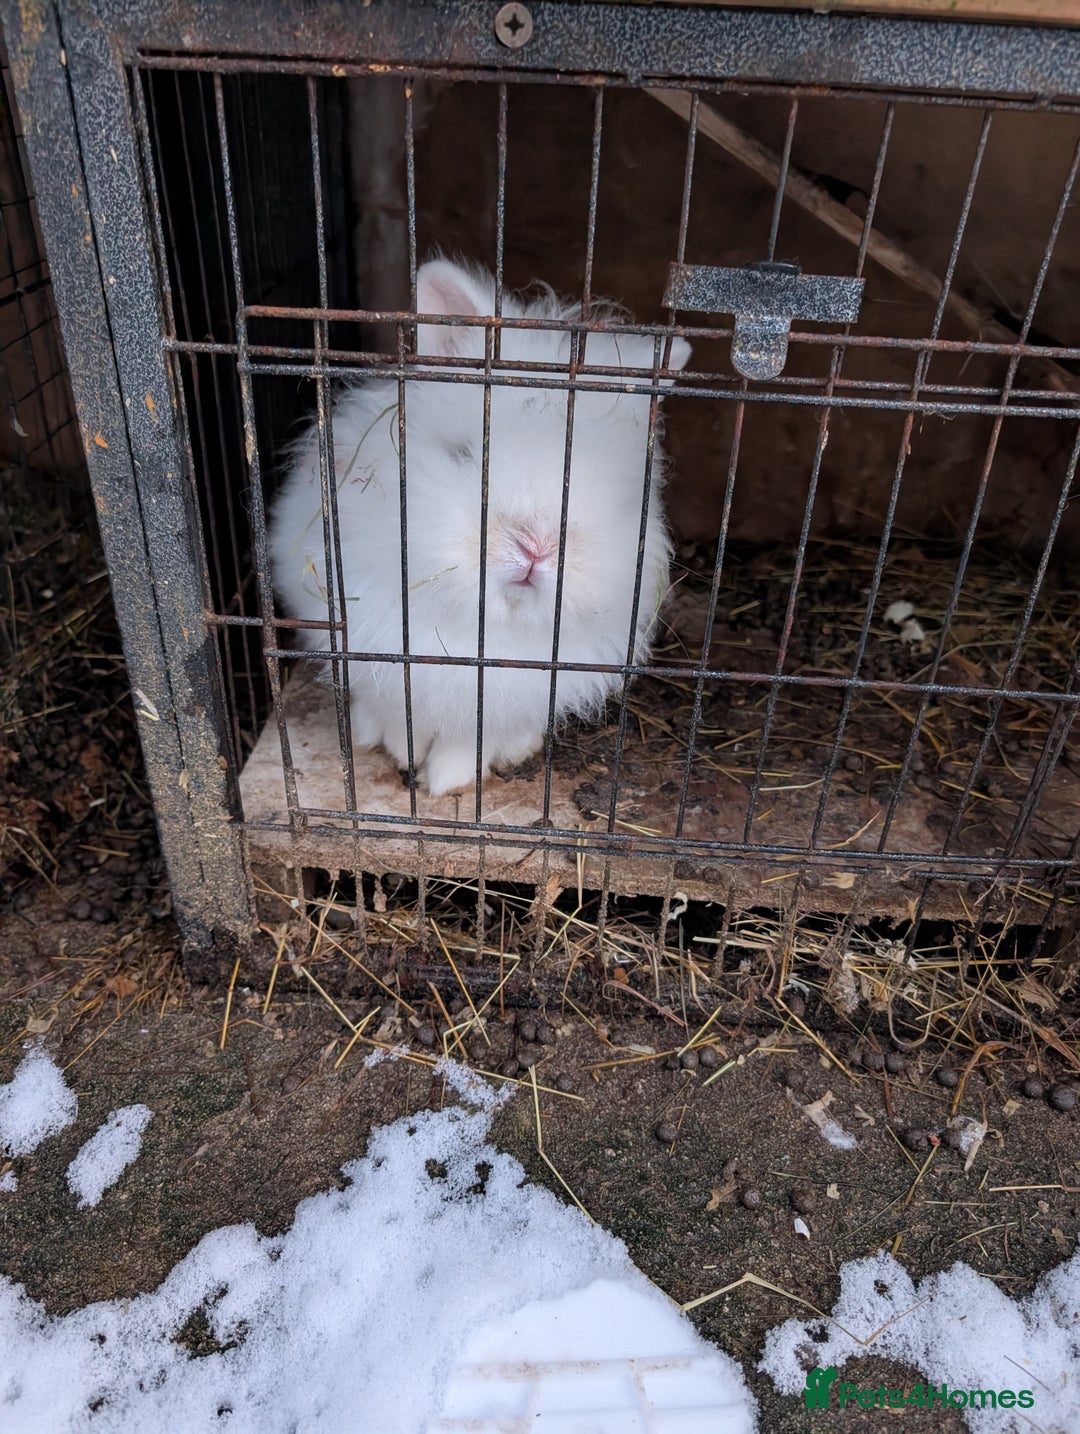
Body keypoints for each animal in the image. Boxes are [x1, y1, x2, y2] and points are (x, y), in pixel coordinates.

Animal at [269, 258, 691, 797]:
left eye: (615, 484)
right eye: (463, 453)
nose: (535, 546)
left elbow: (470, 738)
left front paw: (447, 780)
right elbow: (395, 712)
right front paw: (401, 751)